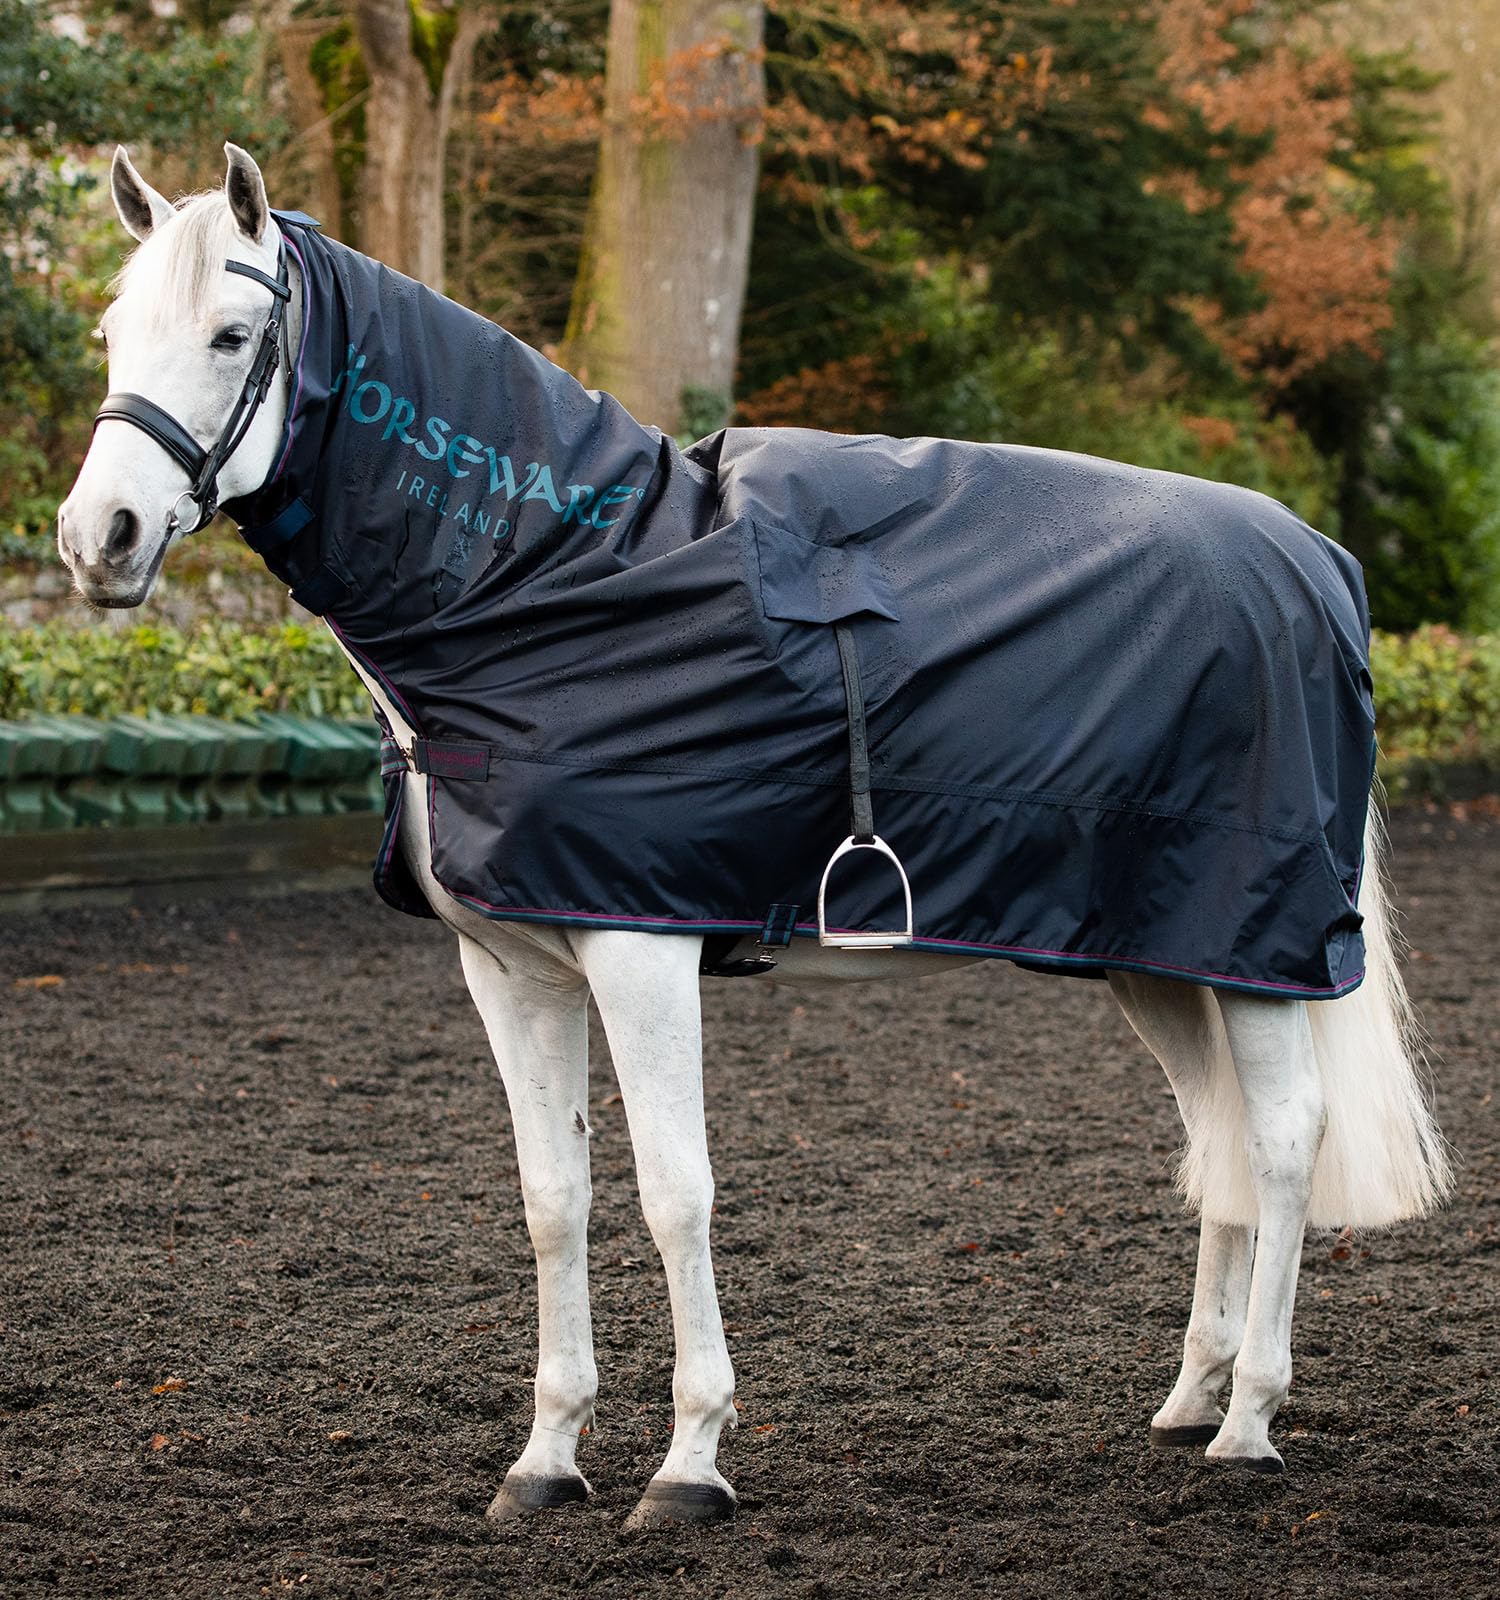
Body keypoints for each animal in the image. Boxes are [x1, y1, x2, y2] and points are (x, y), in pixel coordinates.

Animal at [56, 143, 1452, 1530]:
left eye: (234, 335)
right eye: (114, 334)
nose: (95, 539)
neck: (561, 578)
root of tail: (1316, 559)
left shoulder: (642, 948)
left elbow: (677, 1193)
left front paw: (689, 1461)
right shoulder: (510, 969)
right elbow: (553, 1202)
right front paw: (546, 1456)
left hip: (1254, 944)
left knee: (1282, 1141)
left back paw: (1252, 1422)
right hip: (1157, 951)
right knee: (1218, 1138)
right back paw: (1191, 1398)